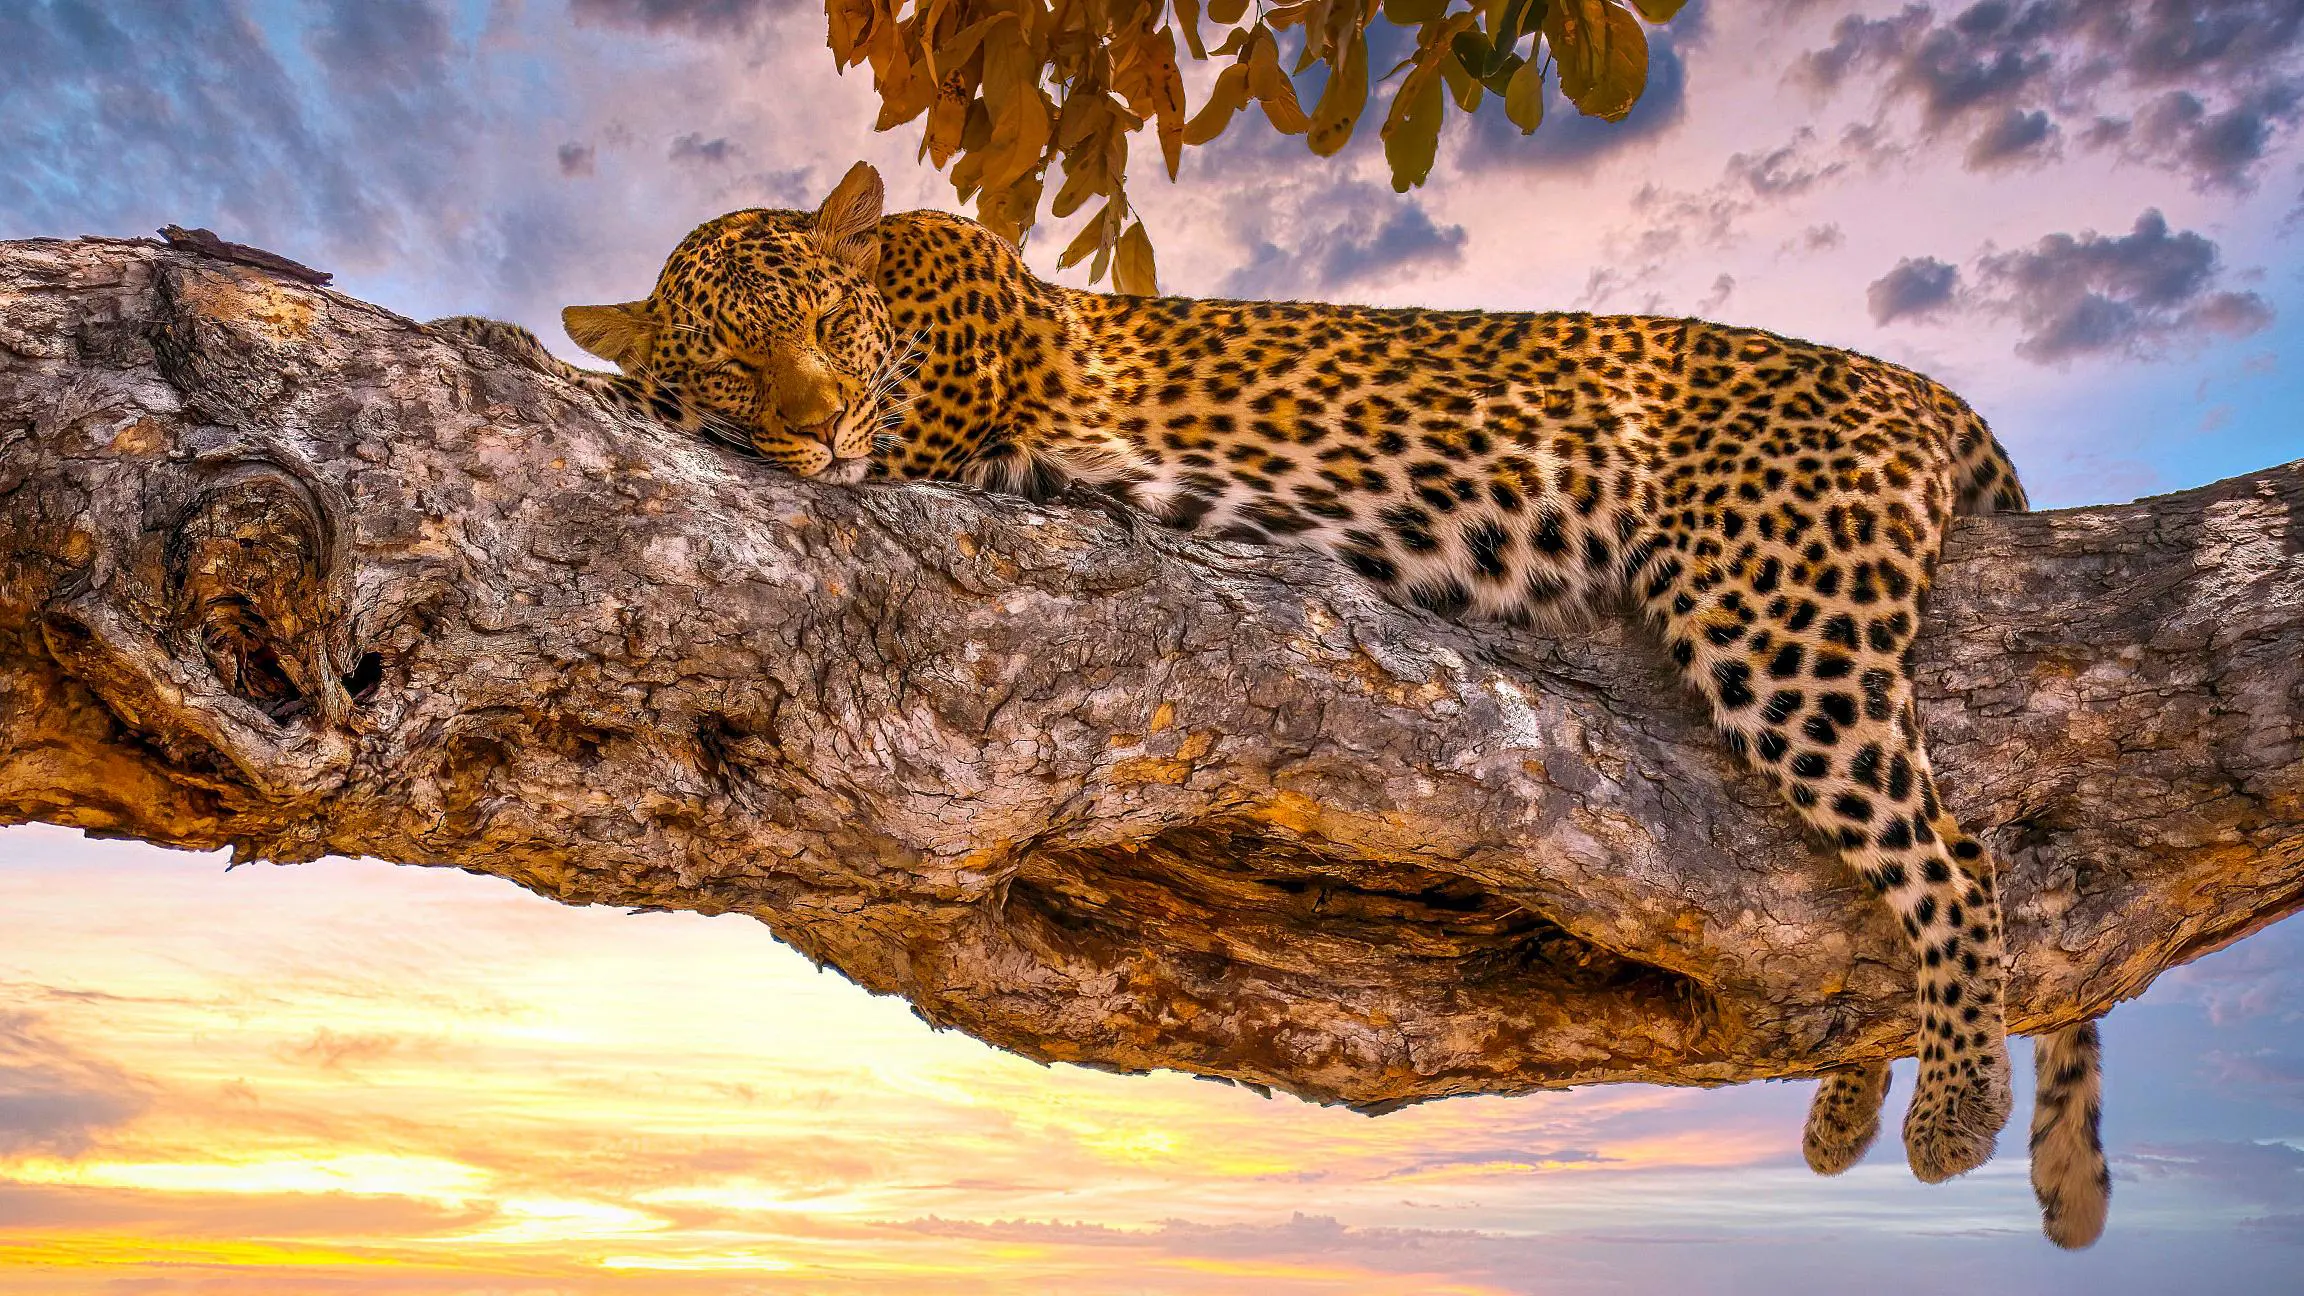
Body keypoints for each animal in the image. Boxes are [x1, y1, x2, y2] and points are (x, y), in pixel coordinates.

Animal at [430, 161, 2109, 1248]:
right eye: (734, 356)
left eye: (827, 331)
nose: (819, 418)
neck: (910, 285)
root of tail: (1921, 389)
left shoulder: (928, 435)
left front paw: (527, 350)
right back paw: (1849, 1111)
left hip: (1773, 605)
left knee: (1953, 857)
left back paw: (1956, 1110)